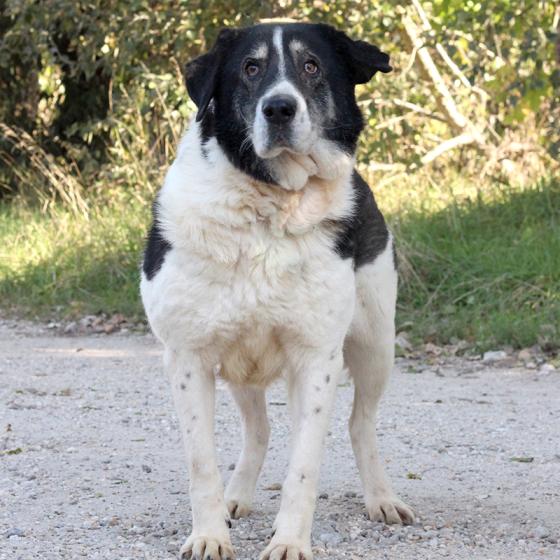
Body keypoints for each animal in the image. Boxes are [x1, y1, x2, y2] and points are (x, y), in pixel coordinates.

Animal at [141, 22, 414, 560]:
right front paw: (209, 535)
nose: (279, 108)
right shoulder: (188, 357)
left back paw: (382, 498)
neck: (268, 208)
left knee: (359, 424)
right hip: (242, 366)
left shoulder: (316, 358)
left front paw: (289, 542)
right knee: (260, 430)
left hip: (375, 344)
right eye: (250, 67)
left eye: (311, 66)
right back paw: (236, 497)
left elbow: (303, 468)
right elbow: (201, 464)